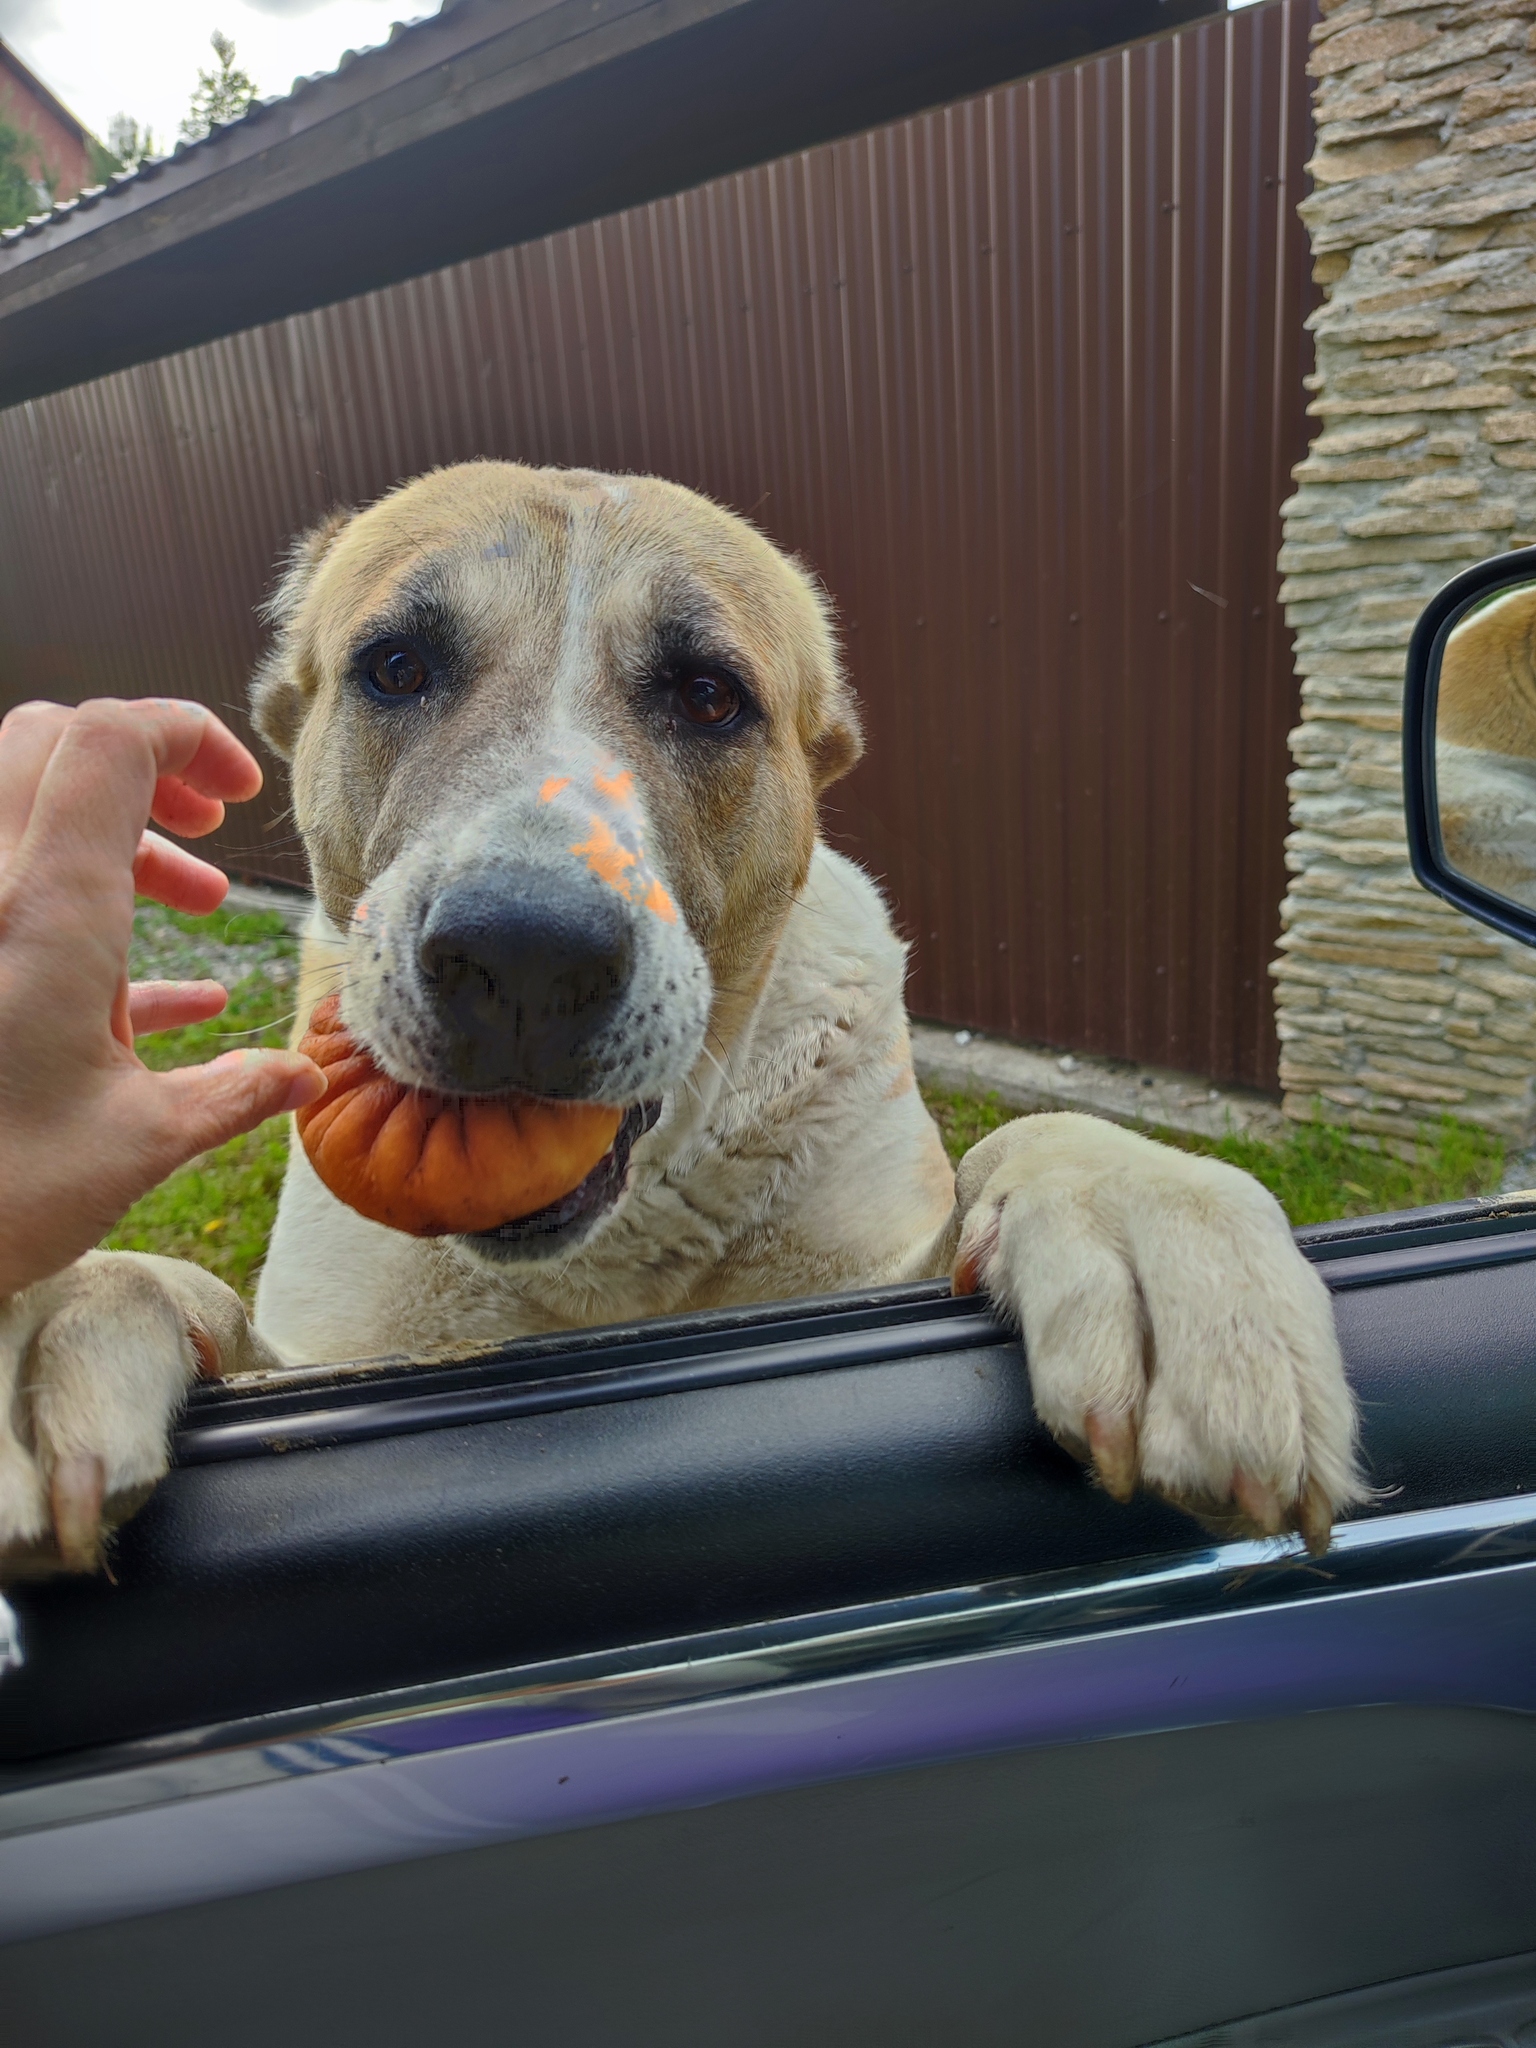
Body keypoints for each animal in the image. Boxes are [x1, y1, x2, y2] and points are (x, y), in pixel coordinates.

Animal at [0, 468, 1368, 1581]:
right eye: (395, 667)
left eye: (709, 696)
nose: (524, 954)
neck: (605, 1258)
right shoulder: (332, 1349)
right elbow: (187, 1297)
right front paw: (67, 1306)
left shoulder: (873, 1277)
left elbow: (1031, 1144)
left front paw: (1159, 1234)